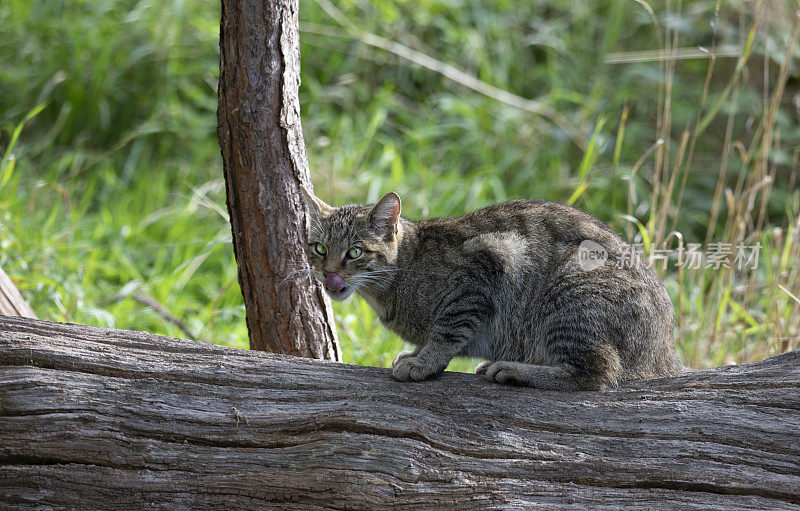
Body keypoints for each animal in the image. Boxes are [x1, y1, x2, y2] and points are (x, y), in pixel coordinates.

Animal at [298, 186, 680, 390]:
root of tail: (665, 348)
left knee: (597, 371)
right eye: (319, 249)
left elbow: (447, 330)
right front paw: (416, 353)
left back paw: (514, 370)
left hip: (572, 291)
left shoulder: (486, 266)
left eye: (355, 252)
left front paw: (424, 361)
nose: (328, 273)